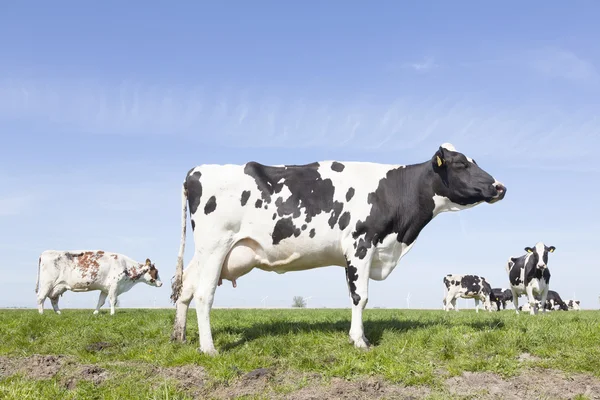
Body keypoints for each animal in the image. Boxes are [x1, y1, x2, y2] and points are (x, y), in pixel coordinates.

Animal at [170, 142, 506, 354]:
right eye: (461, 164)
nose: (500, 186)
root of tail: (197, 171)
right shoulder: (360, 244)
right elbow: (361, 297)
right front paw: (360, 341)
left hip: (205, 253)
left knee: (186, 288)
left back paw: (179, 337)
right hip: (215, 246)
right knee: (204, 295)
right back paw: (209, 348)